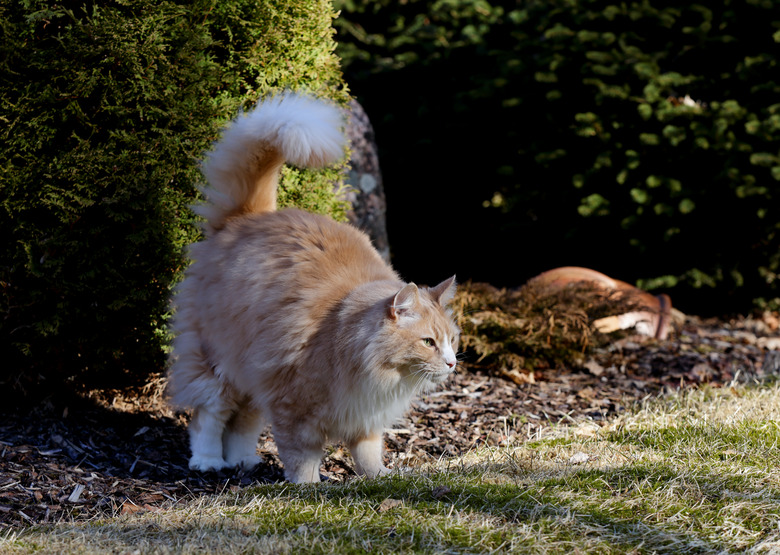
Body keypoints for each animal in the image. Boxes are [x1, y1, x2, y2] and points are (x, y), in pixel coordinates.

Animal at [165, 93, 458, 484]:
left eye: (451, 340)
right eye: (428, 342)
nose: (452, 363)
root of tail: (248, 217)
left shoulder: (362, 416)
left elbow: (368, 451)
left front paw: (378, 478)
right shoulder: (295, 407)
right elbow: (301, 455)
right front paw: (308, 487)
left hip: (254, 372)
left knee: (243, 423)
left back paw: (243, 461)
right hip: (216, 363)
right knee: (208, 417)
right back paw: (209, 461)